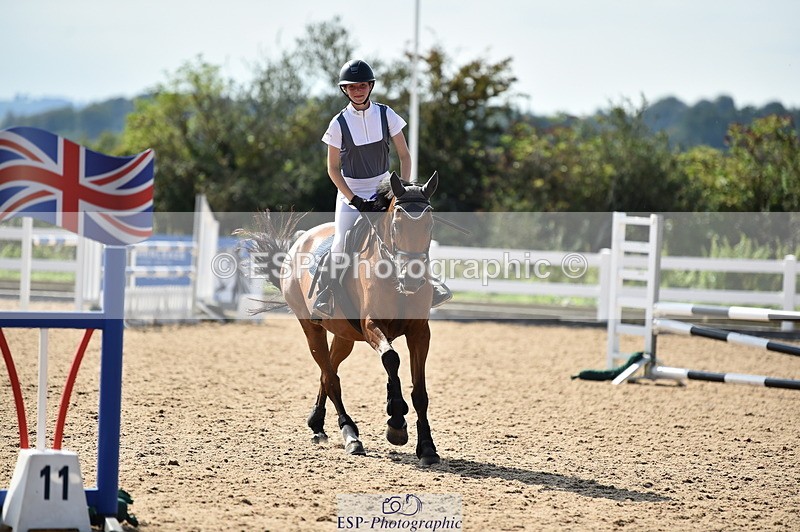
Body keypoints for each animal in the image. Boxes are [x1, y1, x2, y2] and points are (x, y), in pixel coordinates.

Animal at [240, 171, 441, 466]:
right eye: (397, 224)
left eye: (430, 223)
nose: (412, 279)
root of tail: (298, 243)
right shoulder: (371, 325)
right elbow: (391, 358)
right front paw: (395, 421)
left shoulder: (419, 332)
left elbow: (420, 392)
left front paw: (426, 447)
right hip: (312, 329)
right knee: (331, 378)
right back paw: (351, 435)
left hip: (344, 335)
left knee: (328, 370)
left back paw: (317, 424)